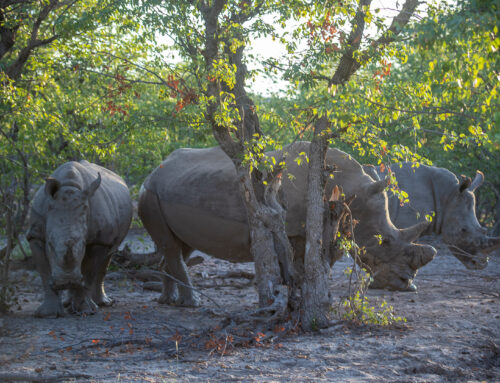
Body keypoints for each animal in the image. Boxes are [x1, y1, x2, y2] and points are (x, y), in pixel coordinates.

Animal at [27, 160, 132, 318]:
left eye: (83, 244)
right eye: (50, 244)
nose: (66, 281)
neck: (69, 186)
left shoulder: (99, 241)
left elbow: (88, 273)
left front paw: (86, 311)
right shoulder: (35, 234)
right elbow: (44, 273)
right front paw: (47, 313)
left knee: (108, 255)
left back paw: (101, 303)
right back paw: (68, 302)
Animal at [139, 142, 436, 308]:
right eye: (383, 242)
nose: (407, 285)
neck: (352, 187)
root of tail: (152, 171)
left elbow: (322, 259)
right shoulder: (291, 227)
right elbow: (298, 262)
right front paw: (300, 292)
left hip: (171, 188)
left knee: (180, 246)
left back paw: (168, 302)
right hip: (149, 194)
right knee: (172, 247)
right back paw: (192, 304)